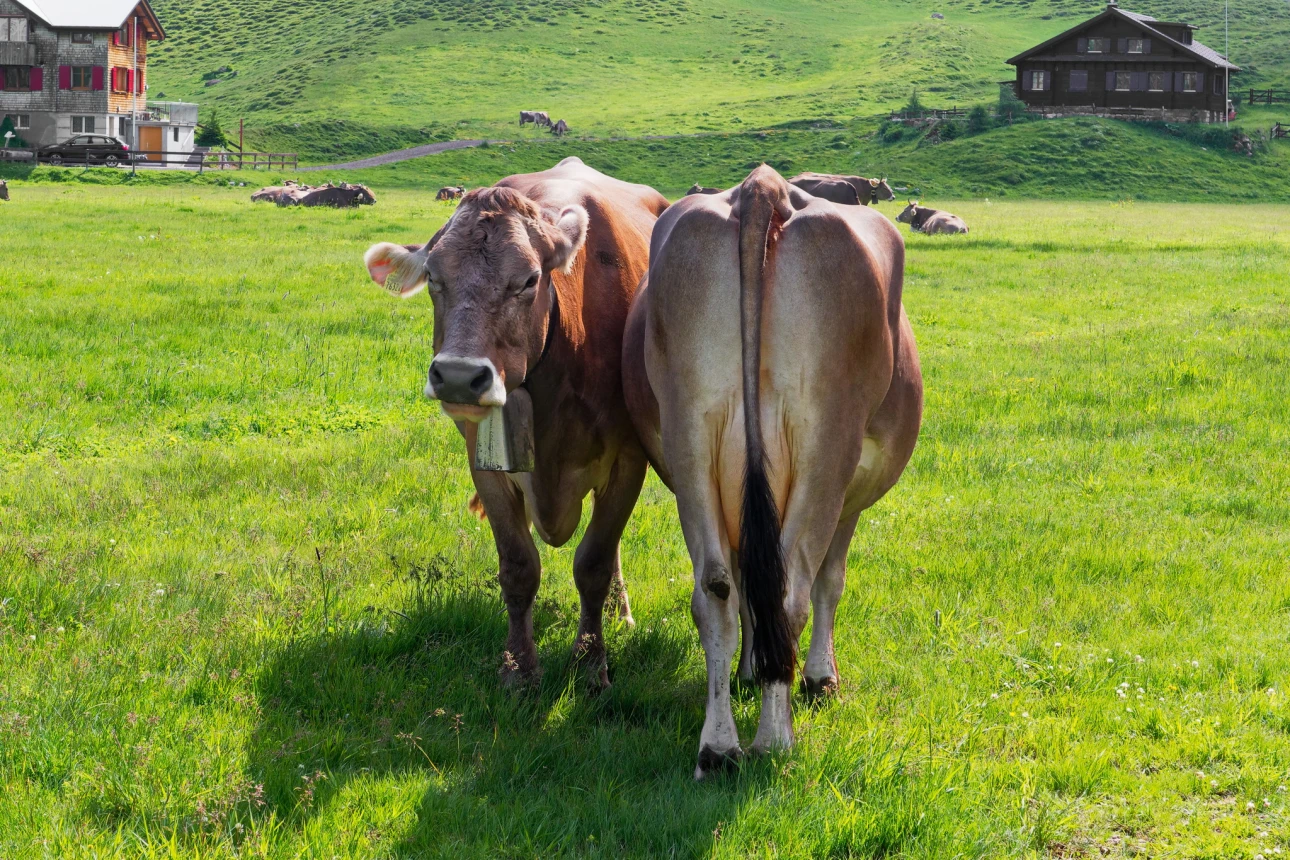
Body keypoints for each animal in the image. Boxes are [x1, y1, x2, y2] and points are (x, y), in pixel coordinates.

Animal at [363, 157, 669, 689]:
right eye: (434, 277)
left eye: (528, 279)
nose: (458, 376)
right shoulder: (484, 463)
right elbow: (519, 565)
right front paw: (518, 669)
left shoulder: (629, 459)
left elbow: (593, 561)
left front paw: (590, 664)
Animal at [622, 165, 922, 778]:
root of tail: (766, 188)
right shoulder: (848, 498)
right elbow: (831, 580)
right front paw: (819, 679)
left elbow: (743, 585)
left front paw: (748, 673)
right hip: (825, 446)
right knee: (791, 591)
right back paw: (774, 740)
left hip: (691, 434)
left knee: (715, 590)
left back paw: (718, 747)